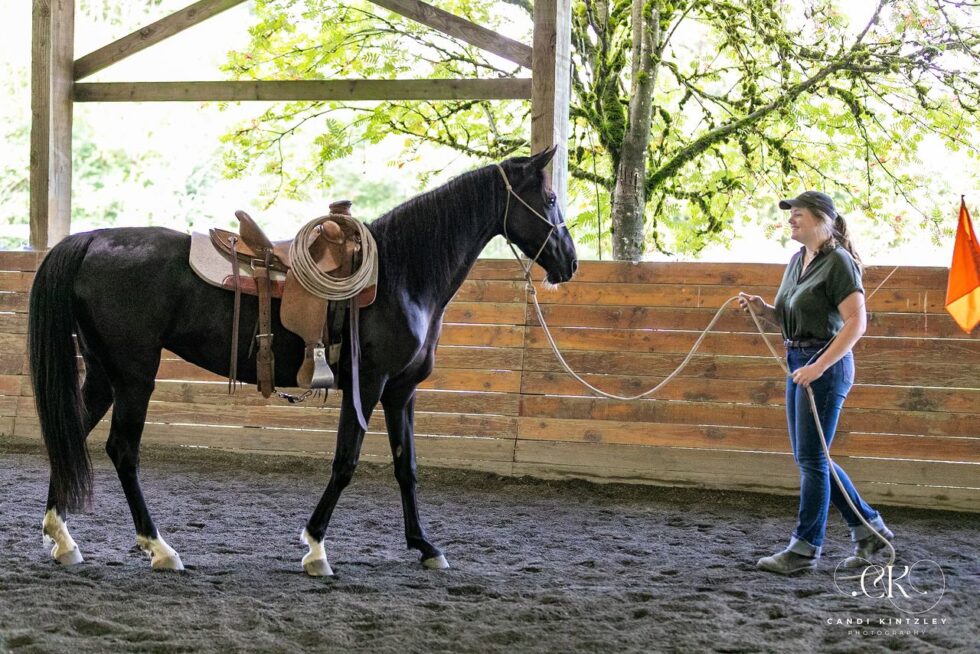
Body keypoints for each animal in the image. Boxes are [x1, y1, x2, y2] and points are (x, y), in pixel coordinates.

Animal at [28, 147, 577, 576]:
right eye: (549, 199)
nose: (569, 261)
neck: (402, 274)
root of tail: (91, 240)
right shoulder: (368, 385)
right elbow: (345, 462)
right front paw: (315, 548)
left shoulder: (401, 391)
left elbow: (407, 466)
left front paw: (425, 547)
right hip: (134, 374)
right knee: (122, 449)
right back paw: (160, 548)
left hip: (103, 373)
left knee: (69, 434)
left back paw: (63, 539)